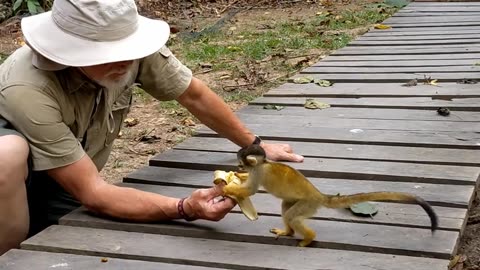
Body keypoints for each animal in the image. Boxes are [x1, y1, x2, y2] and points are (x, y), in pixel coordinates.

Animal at [223, 144, 436, 248]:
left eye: (240, 162)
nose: (238, 168)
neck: (263, 163)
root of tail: (318, 195)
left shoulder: (259, 172)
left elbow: (251, 190)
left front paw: (228, 189)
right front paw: (237, 179)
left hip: (308, 204)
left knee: (293, 216)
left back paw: (308, 238)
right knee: (286, 209)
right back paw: (288, 232)